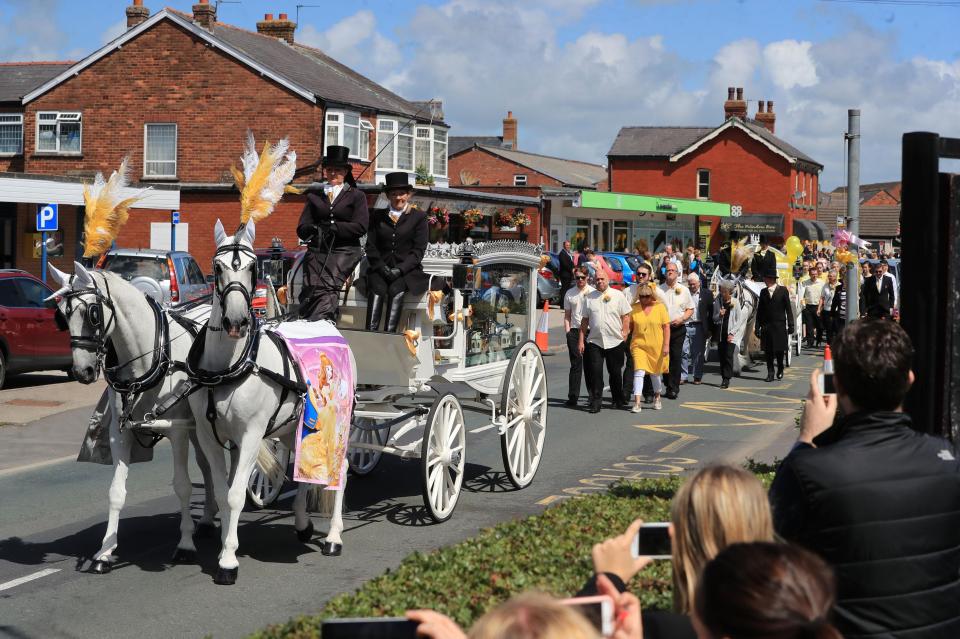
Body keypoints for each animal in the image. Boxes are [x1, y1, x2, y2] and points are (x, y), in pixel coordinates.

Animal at [47, 262, 218, 572]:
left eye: (92, 313)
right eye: (62, 315)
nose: (82, 371)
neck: (151, 356)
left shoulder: (177, 431)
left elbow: (183, 486)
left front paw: (185, 545)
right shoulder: (121, 432)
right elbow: (116, 491)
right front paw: (105, 551)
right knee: (207, 465)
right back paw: (209, 519)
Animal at [187, 222, 348, 588]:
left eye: (251, 268)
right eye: (217, 267)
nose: (235, 321)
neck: (228, 367)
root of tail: (329, 324)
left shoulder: (250, 435)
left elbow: (236, 495)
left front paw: (228, 561)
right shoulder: (208, 436)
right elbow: (222, 492)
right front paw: (224, 545)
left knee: (341, 469)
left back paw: (334, 536)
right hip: (293, 429)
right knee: (304, 471)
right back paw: (302, 524)